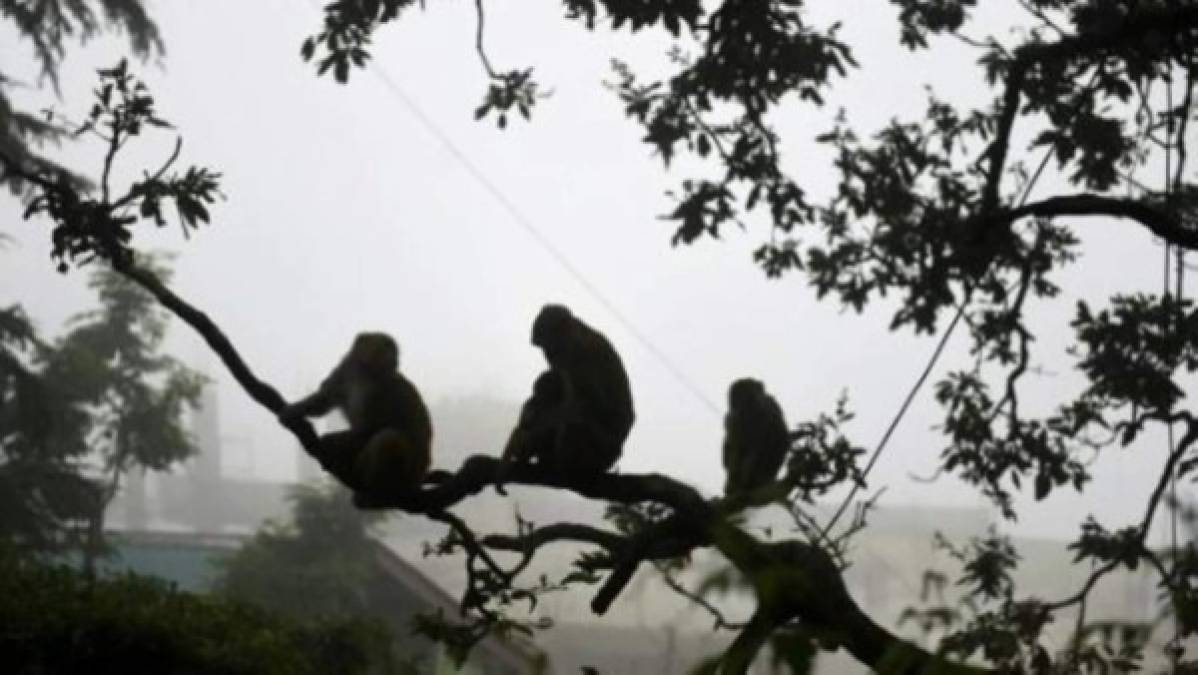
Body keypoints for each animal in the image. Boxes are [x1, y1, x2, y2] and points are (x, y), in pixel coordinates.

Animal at [279, 333, 431, 498]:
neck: (365, 370)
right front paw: (294, 410)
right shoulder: (347, 368)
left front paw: (328, 440)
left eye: (394, 351)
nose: (396, 360)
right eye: (388, 348)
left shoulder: (379, 389)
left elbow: (368, 428)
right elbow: (325, 398)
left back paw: (377, 489)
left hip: (407, 475)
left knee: (388, 438)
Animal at [500, 303, 637, 489]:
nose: (549, 354)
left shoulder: (577, 354)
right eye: (544, 350)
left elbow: (587, 403)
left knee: (577, 422)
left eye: (549, 346)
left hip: (601, 450)